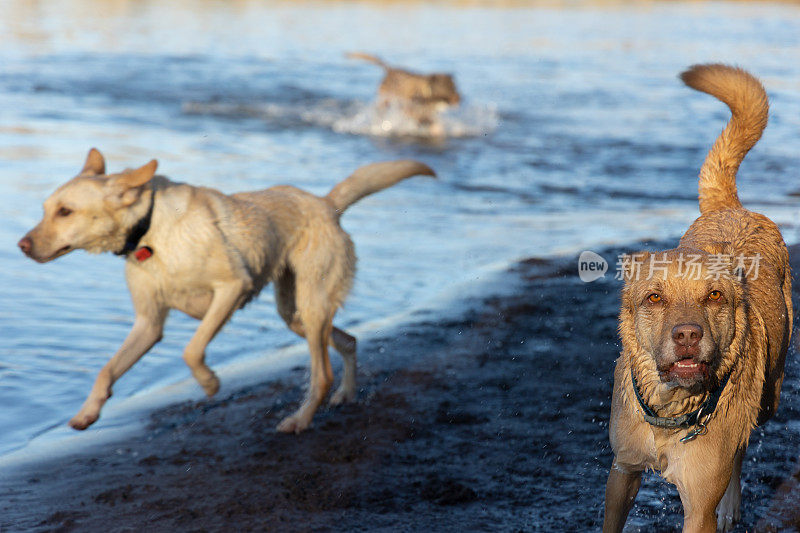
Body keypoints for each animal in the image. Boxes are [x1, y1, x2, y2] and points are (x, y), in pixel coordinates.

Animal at [15, 150, 434, 432]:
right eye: (46, 208)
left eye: (65, 212)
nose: (21, 245)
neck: (150, 233)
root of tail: (327, 204)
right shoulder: (148, 324)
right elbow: (106, 369)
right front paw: (88, 412)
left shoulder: (232, 288)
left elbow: (191, 349)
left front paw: (209, 382)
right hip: (295, 312)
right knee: (348, 341)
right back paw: (345, 393)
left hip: (311, 305)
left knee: (322, 374)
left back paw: (299, 419)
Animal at [604, 63, 792, 532]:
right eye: (654, 298)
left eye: (715, 296)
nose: (687, 336)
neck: (670, 412)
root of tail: (733, 207)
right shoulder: (622, 471)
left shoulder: (698, 506)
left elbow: (719, 481)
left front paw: (726, 504)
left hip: (768, 395)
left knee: (742, 446)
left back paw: (731, 505)